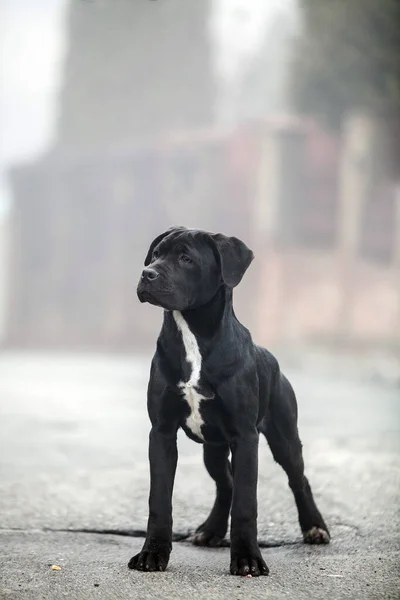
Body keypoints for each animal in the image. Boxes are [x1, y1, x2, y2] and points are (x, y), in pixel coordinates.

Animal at [130, 226, 330, 576]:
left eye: (186, 259)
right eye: (155, 254)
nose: (147, 274)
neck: (192, 337)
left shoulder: (245, 437)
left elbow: (246, 503)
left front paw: (248, 559)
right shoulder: (162, 432)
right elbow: (160, 500)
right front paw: (152, 554)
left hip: (284, 439)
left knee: (298, 479)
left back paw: (315, 527)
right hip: (214, 448)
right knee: (226, 484)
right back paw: (211, 530)